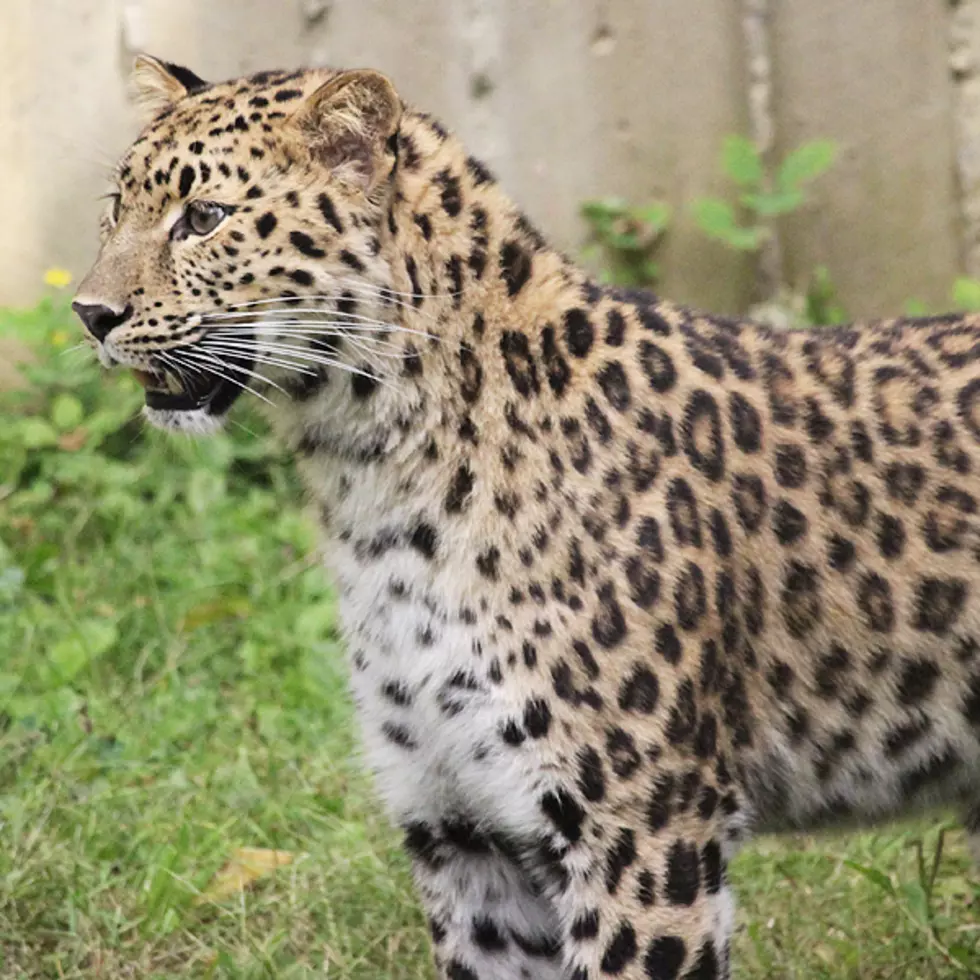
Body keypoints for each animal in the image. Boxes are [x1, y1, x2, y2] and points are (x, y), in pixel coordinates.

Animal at [72, 55, 980, 980]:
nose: (90, 314)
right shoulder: (459, 826)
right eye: (115, 209)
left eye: (204, 219)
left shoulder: (639, 827)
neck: (369, 484)